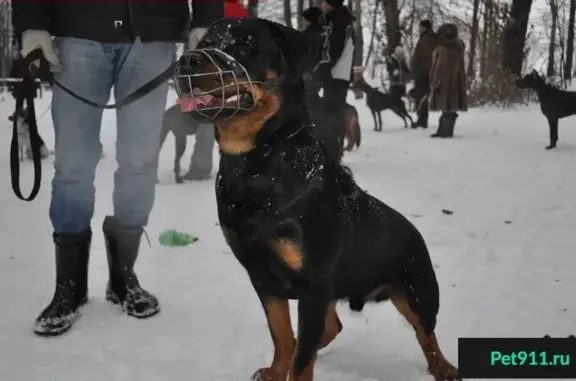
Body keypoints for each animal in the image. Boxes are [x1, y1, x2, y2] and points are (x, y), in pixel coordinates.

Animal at [178, 18, 462, 380]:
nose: (186, 61)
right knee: (331, 328)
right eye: (206, 42)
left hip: (417, 291)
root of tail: (417, 235)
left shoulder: (312, 285)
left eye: (245, 45)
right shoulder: (264, 279)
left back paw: (443, 368)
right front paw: (276, 371)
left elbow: (301, 362)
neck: (259, 163)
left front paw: (293, 367)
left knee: (426, 334)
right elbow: (282, 335)